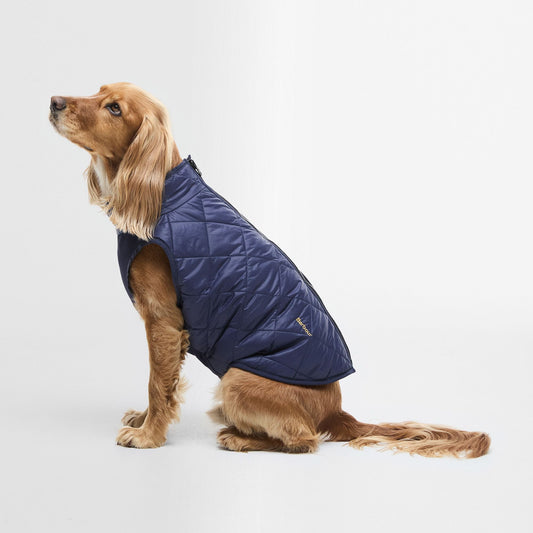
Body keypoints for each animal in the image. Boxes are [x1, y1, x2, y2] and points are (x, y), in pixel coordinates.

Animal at [49, 82, 490, 457]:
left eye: (114, 108)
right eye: (98, 91)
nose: (54, 101)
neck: (165, 194)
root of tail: (336, 412)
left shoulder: (163, 321)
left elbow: (158, 382)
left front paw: (147, 436)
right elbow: (162, 382)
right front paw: (143, 420)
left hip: (236, 380)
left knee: (305, 439)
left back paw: (238, 438)